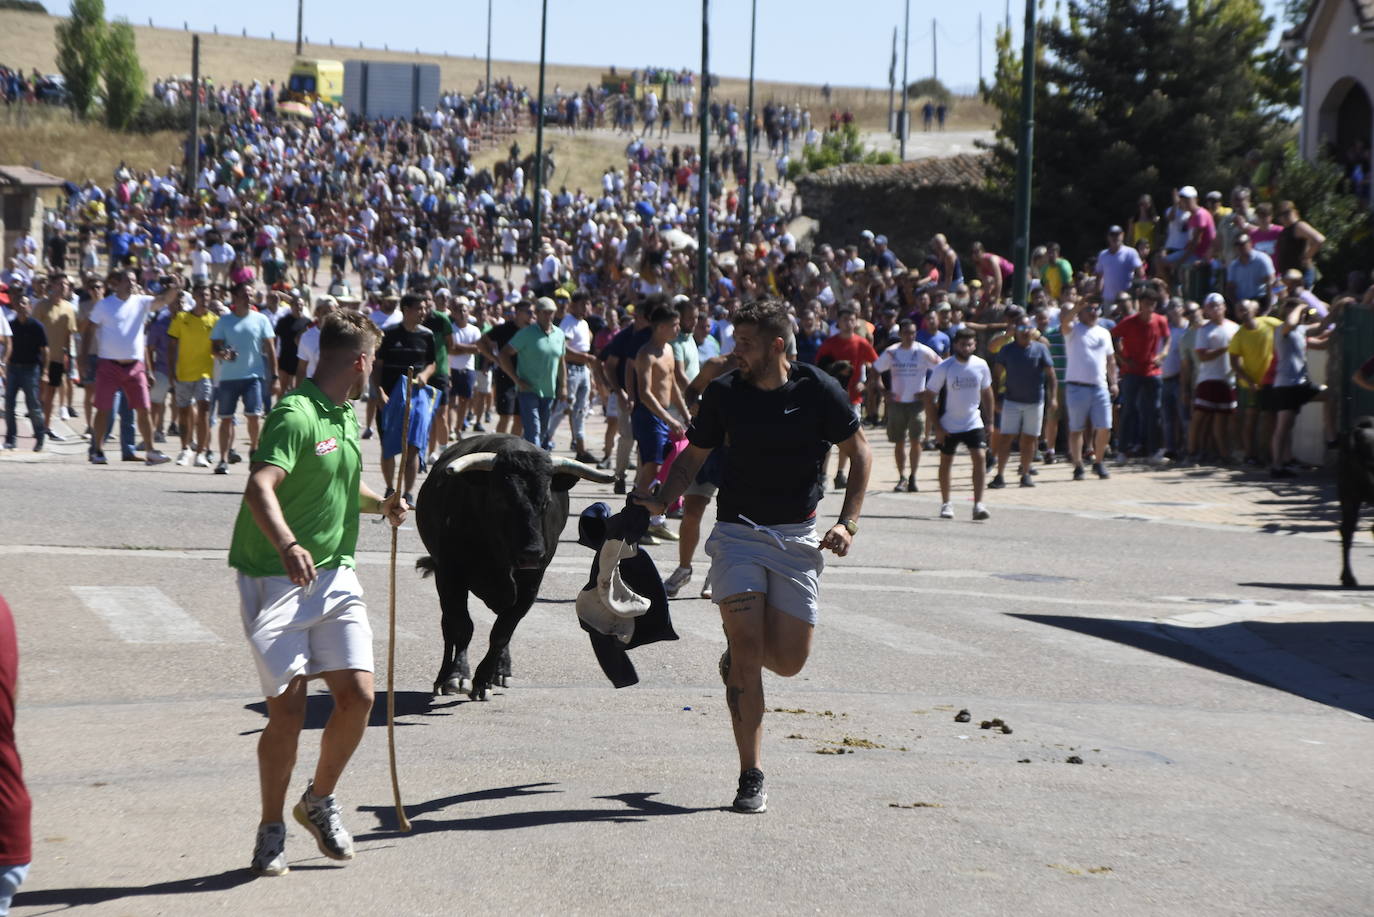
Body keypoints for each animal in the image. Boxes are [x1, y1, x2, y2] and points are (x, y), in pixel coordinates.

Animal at [412, 434, 612, 698]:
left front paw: (483, 679)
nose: (532, 554)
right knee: (448, 627)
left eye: (546, 501)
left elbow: (502, 631)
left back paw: (500, 671)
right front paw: (457, 676)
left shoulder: (530, 586)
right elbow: (462, 626)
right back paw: (442, 677)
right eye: (500, 499)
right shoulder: (450, 575)